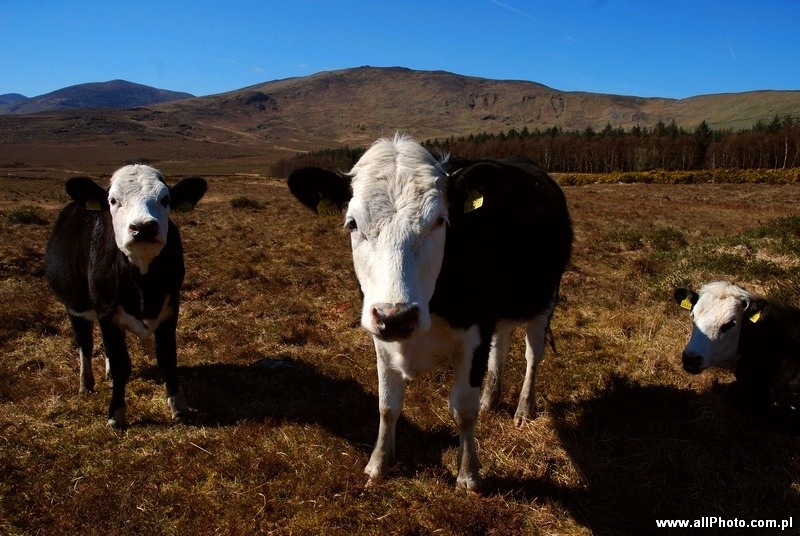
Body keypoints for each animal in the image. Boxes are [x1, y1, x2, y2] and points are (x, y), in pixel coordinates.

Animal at [44, 163, 208, 428]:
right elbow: (121, 362)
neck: (142, 280)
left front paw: (178, 407)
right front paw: (116, 414)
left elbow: (167, 358)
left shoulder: (170, 307)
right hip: (75, 309)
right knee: (85, 344)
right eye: (113, 200)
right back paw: (86, 384)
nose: (143, 227)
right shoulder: (105, 312)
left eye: (165, 199)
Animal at [286, 134, 568, 490]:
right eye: (352, 223)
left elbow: (463, 409)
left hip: (544, 302)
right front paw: (379, 463)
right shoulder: (381, 334)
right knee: (501, 346)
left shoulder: (475, 331)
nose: (396, 316)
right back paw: (491, 399)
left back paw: (523, 408)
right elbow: (387, 405)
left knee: (533, 355)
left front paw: (468, 474)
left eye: (439, 220)